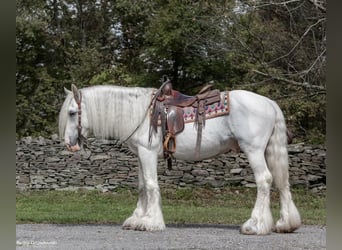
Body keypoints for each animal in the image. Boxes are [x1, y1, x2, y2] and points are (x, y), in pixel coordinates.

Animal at [59, 84, 302, 234]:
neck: (139, 113)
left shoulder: (147, 153)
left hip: (253, 150)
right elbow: (141, 187)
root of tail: (269, 103)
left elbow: (151, 185)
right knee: (282, 183)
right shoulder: (140, 155)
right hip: (268, 150)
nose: (69, 144)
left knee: (264, 180)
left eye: (72, 113)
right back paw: (285, 224)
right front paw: (137, 219)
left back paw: (255, 225)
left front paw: (151, 222)